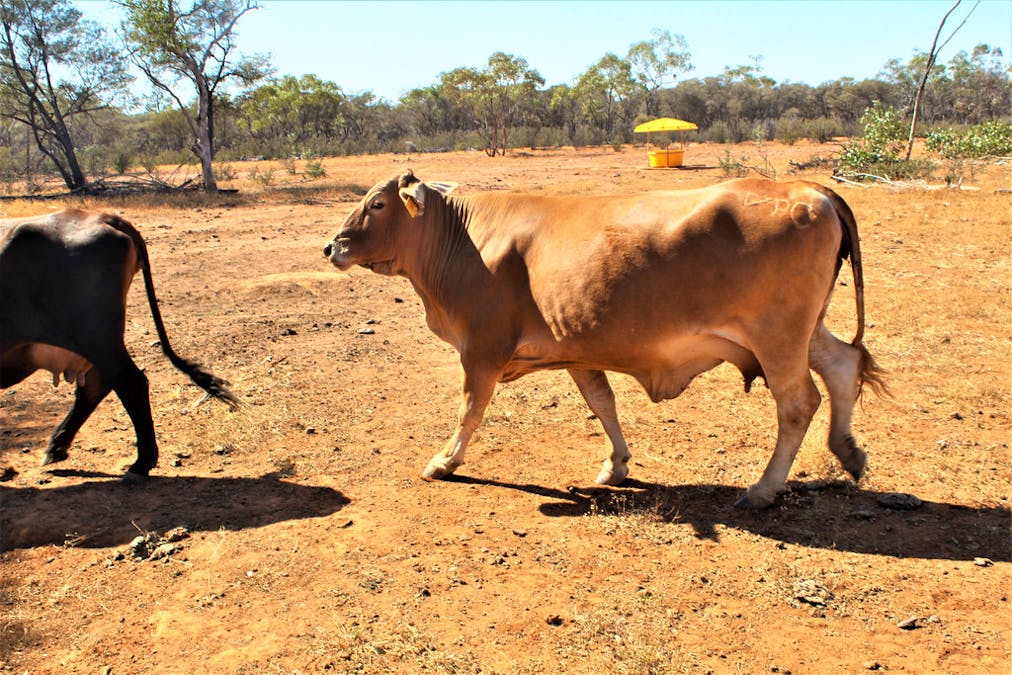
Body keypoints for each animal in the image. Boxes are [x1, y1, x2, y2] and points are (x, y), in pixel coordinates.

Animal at [0, 209, 238, 479]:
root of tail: (102, 217)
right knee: (96, 387)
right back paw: (57, 447)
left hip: (97, 339)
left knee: (128, 383)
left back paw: (141, 462)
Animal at [325, 172, 886, 510]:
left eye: (377, 203)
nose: (332, 246)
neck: (464, 237)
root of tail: (811, 189)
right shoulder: (577, 350)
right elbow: (603, 403)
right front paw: (615, 464)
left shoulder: (481, 350)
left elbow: (470, 410)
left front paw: (444, 461)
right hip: (805, 331)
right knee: (842, 365)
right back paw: (849, 451)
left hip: (778, 338)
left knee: (798, 403)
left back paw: (764, 488)